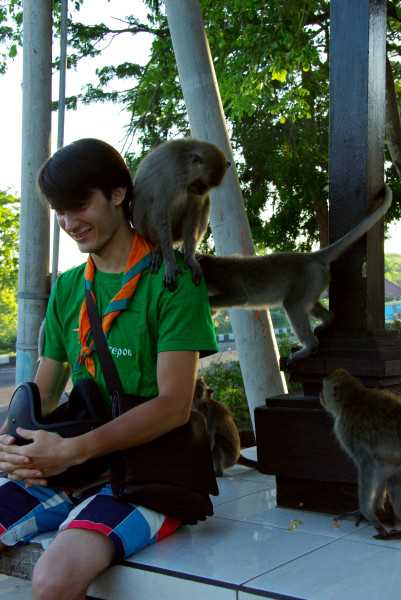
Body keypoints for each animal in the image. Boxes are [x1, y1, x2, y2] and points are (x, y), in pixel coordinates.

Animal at [133, 139, 230, 292]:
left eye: (207, 187)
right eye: (200, 183)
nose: (200, 192)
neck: (184, 167)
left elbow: (192, 214)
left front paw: (190, 259)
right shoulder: (170, 176)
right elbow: (161, 212)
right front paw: (169, 262)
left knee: (205, 204)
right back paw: (158, 247)